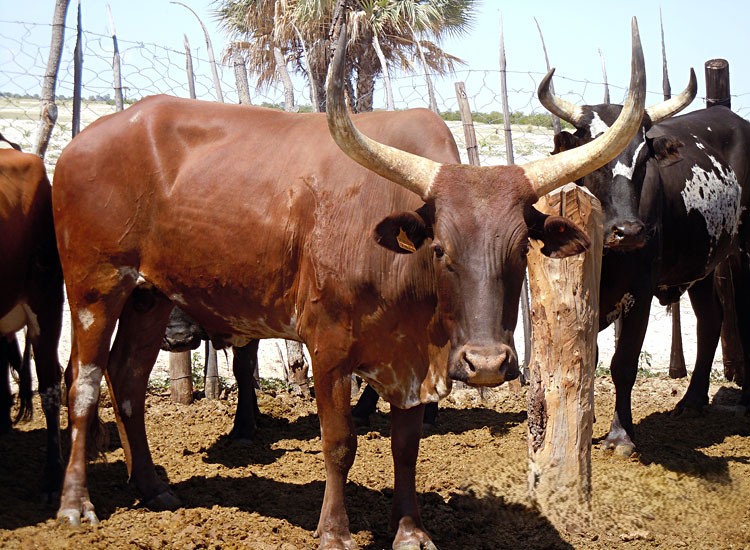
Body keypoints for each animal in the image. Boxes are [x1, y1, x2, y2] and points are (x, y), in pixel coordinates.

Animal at [51, 19, 645, 548]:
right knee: (83, 382)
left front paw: (410, 531)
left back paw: (152, 488)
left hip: (149, 294)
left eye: (521, 248)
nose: (487, 364)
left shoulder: (411, 363)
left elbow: (406, 447)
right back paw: (76, 504)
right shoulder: (328, 348)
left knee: (127, 379)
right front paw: (334, 532)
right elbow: (339, 443)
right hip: (93, 287)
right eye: (440, 249)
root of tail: (84, 142)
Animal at [539, 68, 750, 456]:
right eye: (594, 157)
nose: (630, 231)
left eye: (643, 159)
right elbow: (588, 357)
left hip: (744, 249)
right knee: (711, 319)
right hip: (700, 264)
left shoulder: (640, 291)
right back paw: (692, 401)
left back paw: (744, 402)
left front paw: (621, 435)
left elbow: (623, 363)